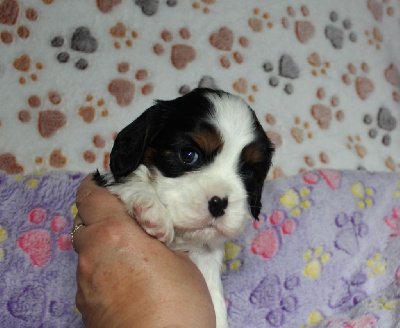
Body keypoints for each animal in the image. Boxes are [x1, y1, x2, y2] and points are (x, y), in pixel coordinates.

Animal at [95, 88, 274, 326]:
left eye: (249, 172)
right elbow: (130, 181)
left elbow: (214, 297)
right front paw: (153, 208)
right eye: (189, 155)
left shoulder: (206, 257)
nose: (218, 203)